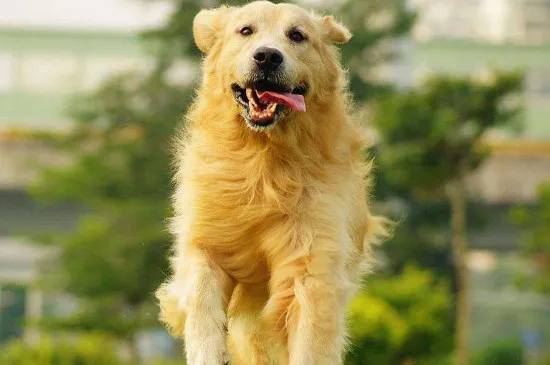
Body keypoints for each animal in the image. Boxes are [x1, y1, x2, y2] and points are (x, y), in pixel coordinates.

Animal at [155, 1, 388, 362]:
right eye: (245, 30)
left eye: (297, 35)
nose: (267, 56)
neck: (262, 158)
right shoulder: (208, 234)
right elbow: (201, 295)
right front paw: (208, 351)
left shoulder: (311, 255)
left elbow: (309, 330)